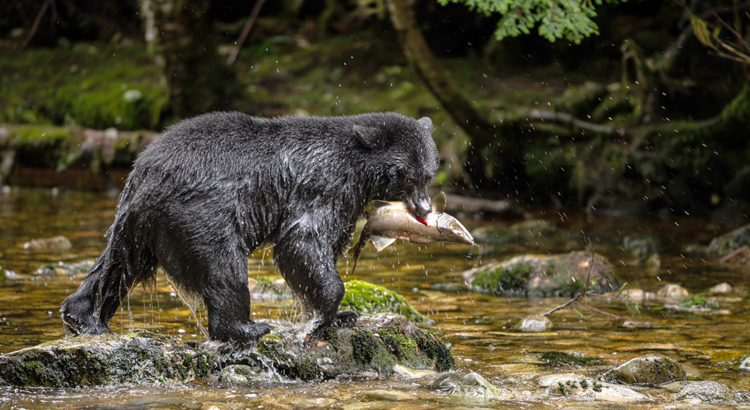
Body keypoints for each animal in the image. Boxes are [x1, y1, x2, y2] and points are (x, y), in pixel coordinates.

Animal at [64, 111, 444, 342]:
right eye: (409, 179)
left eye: (428, 175)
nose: (425, 209)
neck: (358, 168)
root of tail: (144, 172)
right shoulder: (324, 183)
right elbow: (302, 240)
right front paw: (328, 312)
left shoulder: (348, 201)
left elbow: (327, 242)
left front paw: (340, 316)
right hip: (199, 214)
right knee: (224, 268)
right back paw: (246, 328)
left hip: (137, 225)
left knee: (116, 265)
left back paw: (82, 316)